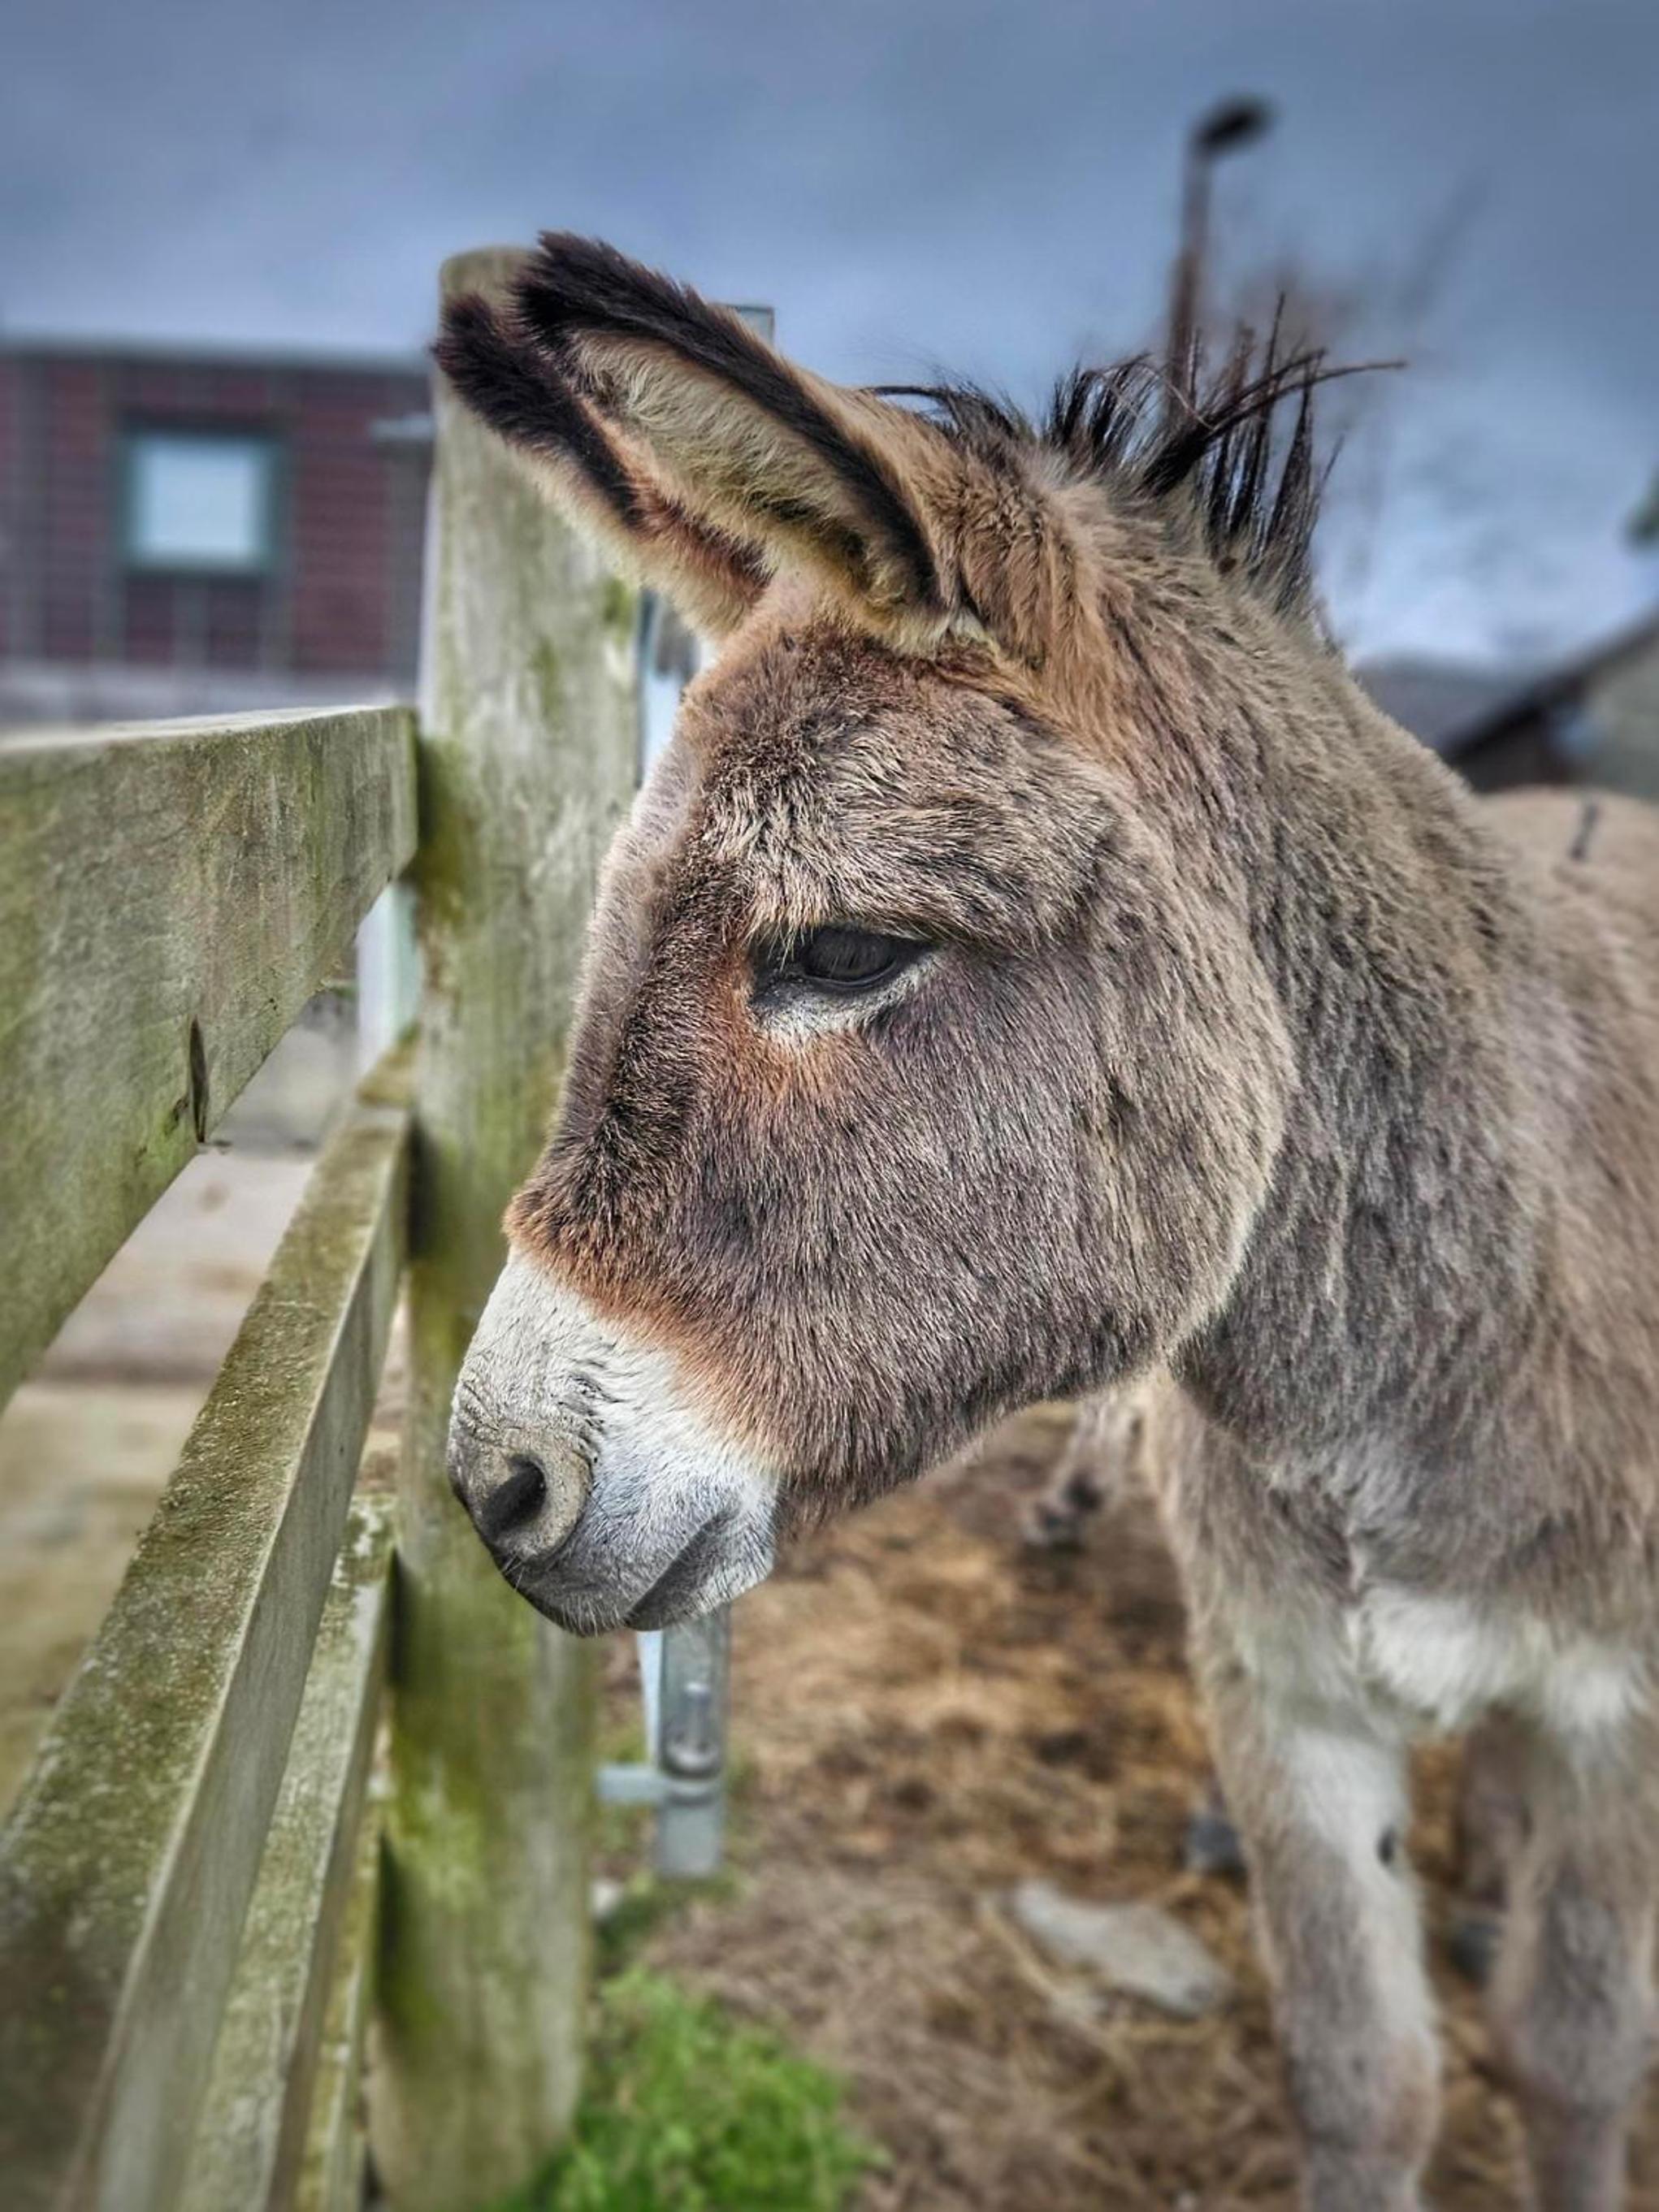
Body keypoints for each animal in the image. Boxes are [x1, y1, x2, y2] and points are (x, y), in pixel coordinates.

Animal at [436, 236, 1659, 2211]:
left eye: (842, 950)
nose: (499, 1487)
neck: (1454, 1326)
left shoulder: (1620, 1707)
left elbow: (1573, 2054)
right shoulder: (1287, 1690)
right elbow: (1361, 2073)